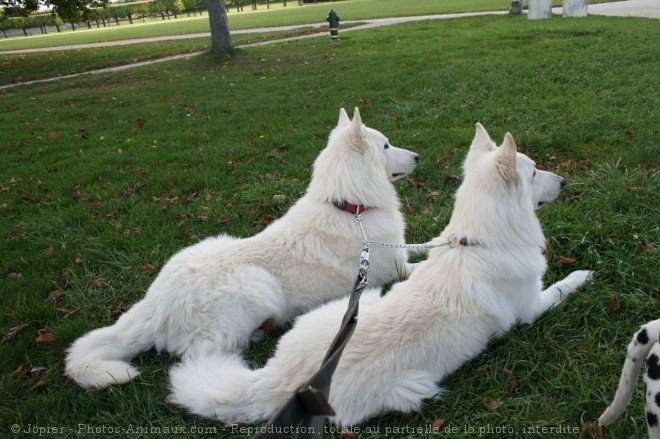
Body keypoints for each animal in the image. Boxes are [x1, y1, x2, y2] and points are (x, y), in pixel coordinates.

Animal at [65, 108, 418, 390]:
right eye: (386, 145)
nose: (417, 156)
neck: (348, 206)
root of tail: (156, 303)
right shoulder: (396, 270)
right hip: (257, 287)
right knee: (203, 356)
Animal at [169, 123, 592, 426]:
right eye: (534, 171)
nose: (565, 181)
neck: (478, 242)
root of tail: (284, 381)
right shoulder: (531, 309)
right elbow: (560, 288)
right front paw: (583, 275)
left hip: (350, 304)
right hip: (409, 387)